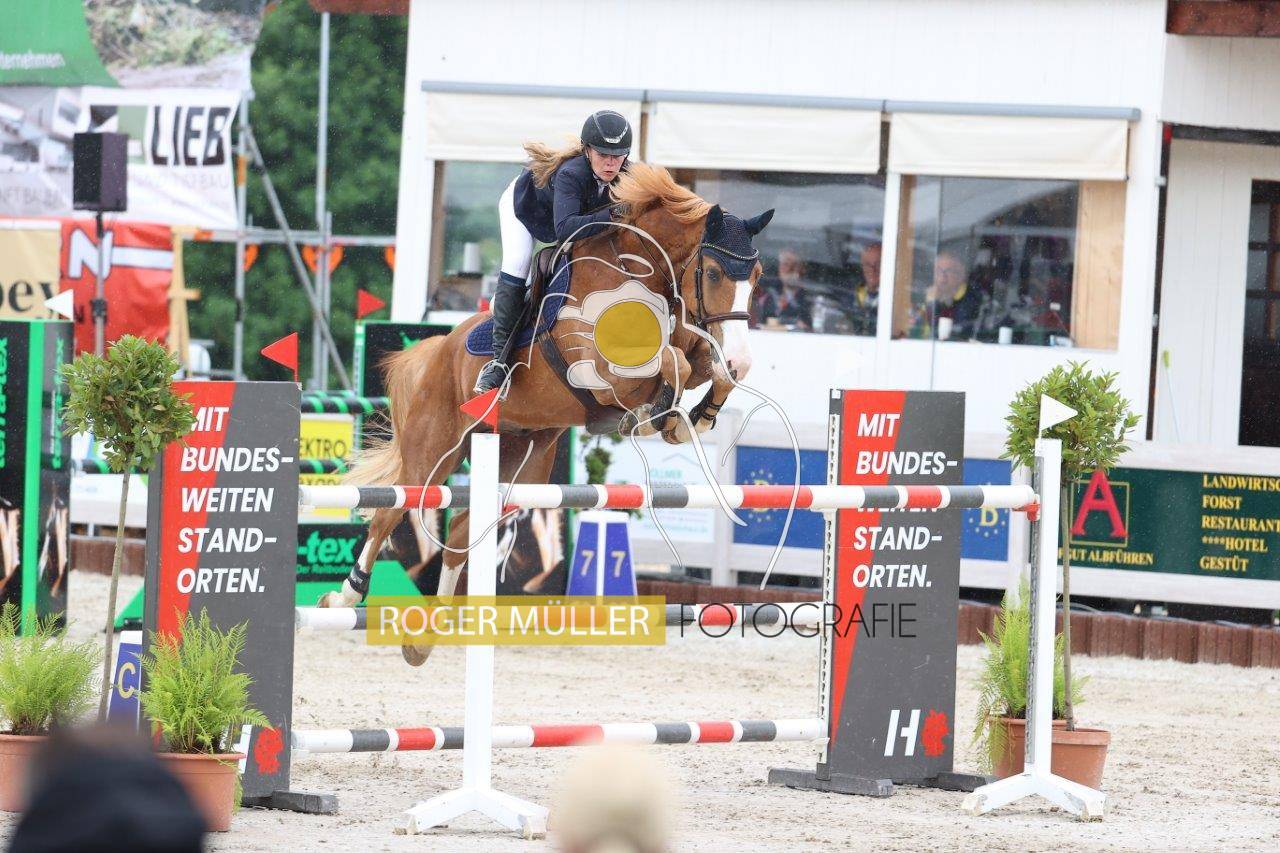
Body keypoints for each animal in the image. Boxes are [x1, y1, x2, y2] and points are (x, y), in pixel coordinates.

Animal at [325, 163, 774, 665]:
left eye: (756, 275)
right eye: (713, 272)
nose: (740, 356)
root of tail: (434, 352)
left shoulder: (693, 347)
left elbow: (702, 367)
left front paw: (691, 417)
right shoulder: (599, 367)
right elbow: (669, 363)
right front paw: (658, 413)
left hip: (523, 465)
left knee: (460, 530)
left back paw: (425, 635)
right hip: (435, 449)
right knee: (391, 512)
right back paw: (344, 598)